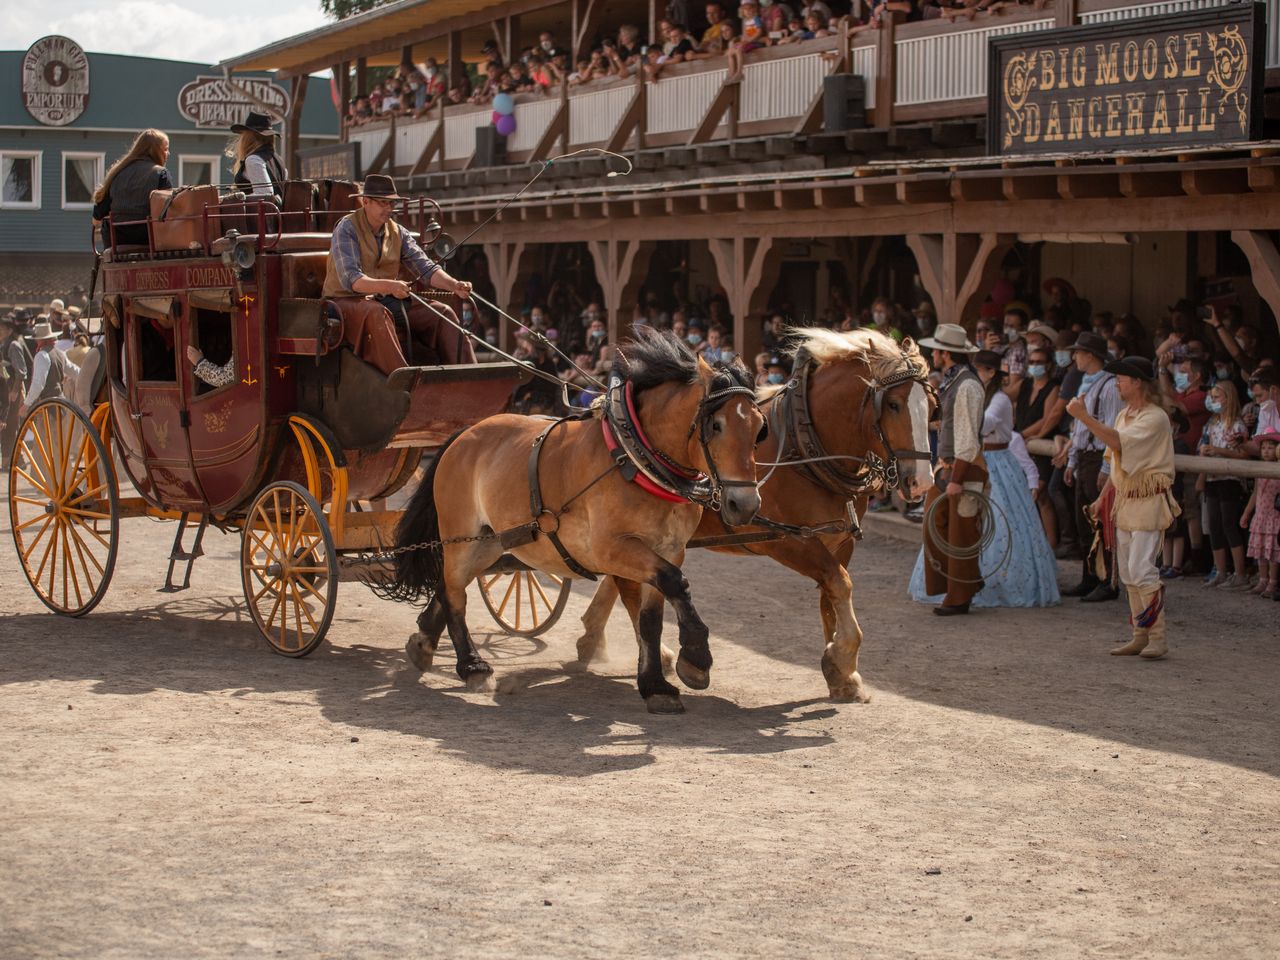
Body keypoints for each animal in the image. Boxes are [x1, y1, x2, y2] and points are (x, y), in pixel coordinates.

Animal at [384, 330, 762, 716]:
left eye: (760, 428)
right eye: (716, 425)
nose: (744, 505)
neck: (634, 459)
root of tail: (463, 433)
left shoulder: (669, 549)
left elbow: (651, 618)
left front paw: (656, 684)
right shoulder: (610, 548)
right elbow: (675, 584)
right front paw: (695, 658)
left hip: (491, 540)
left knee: (451, 585)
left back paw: (424, 642)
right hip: (462, 535)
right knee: (455, 591)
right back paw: (472, 665)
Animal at [578, 327, 931, 701]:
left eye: (933, 406)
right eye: (893, 404)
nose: (922, 481)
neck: (803, 447)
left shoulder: (839, 541)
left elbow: (830, 597)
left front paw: (841, 674)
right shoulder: (787, 540)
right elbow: (840, 583)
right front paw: (842, 658)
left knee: (621, 577)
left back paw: (595, 638)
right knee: (627, 584)